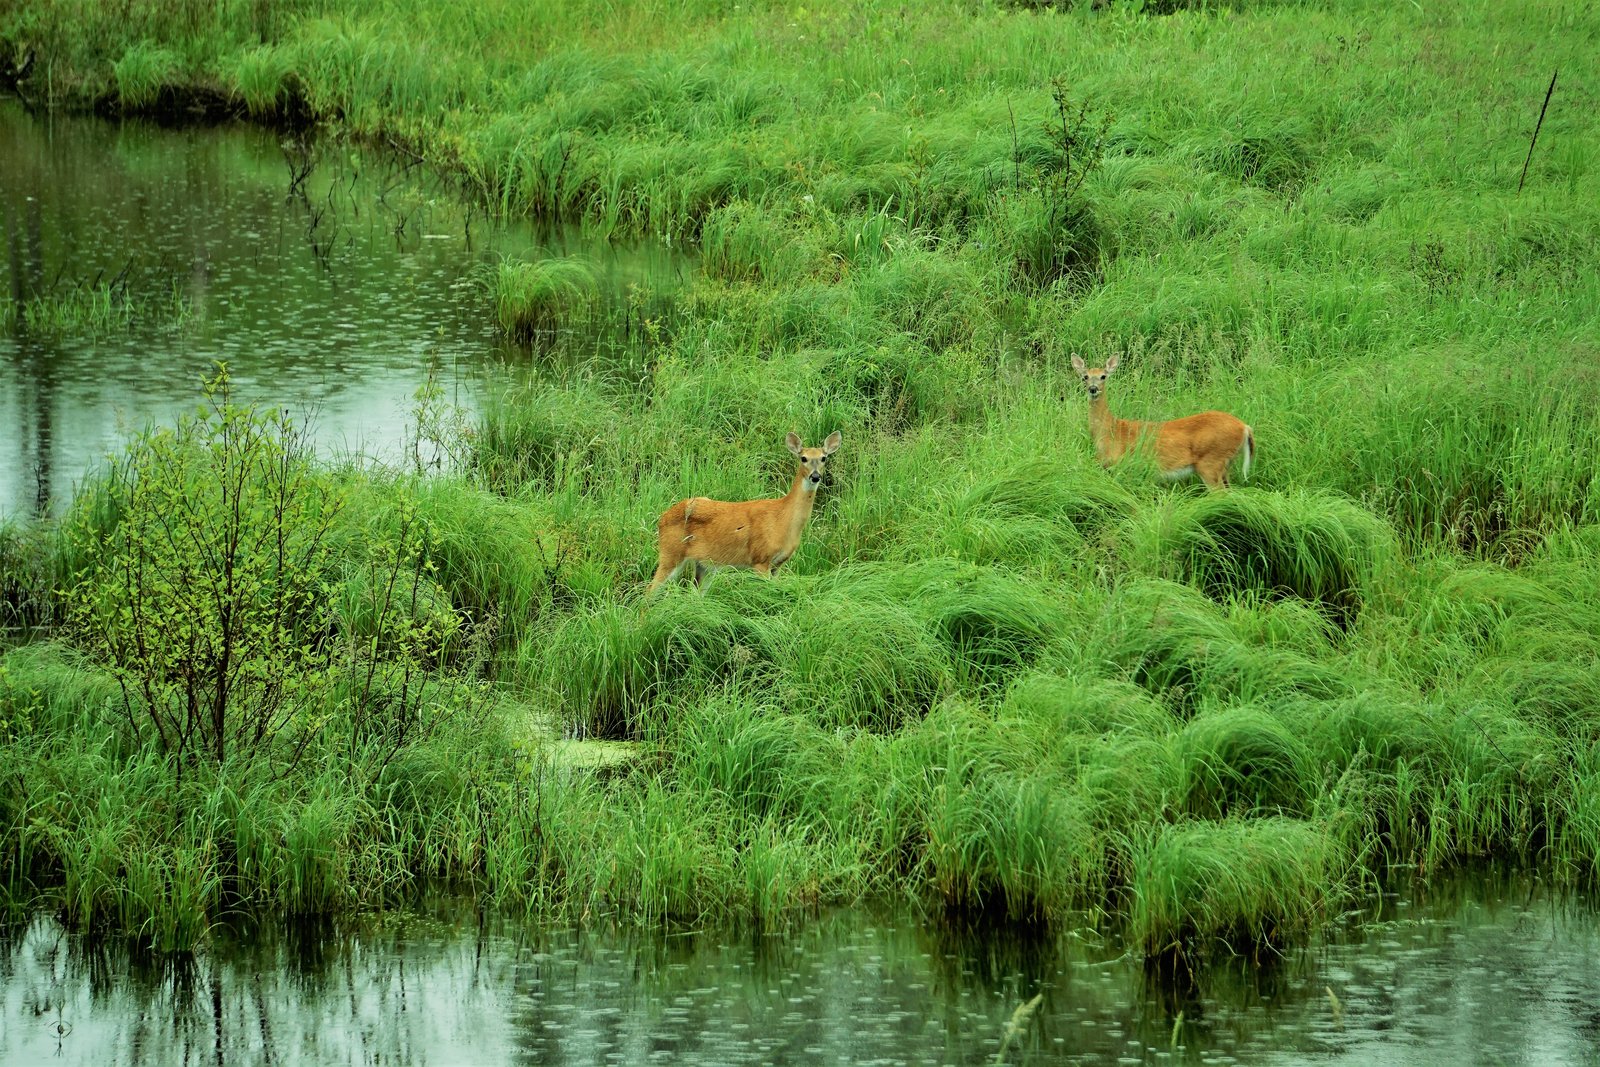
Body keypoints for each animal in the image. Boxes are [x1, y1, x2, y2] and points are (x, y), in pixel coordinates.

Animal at [646, 431, 842, 597]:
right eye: (803, 458)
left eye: (823, 458)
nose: (815, 476)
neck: (783, 519)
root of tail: (661, 519)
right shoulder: (760, 559)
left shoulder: (778, 564)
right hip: (671, 552)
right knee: (649, 591)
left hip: (705, 564)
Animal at [1070, 353, 1254, 490]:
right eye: (1085, 377)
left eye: (1103, 376)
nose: (1093, 389)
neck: (1110, 429)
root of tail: (1244, 427)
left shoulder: (1120, 465)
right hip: (1224, 465)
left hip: (1211, 462)